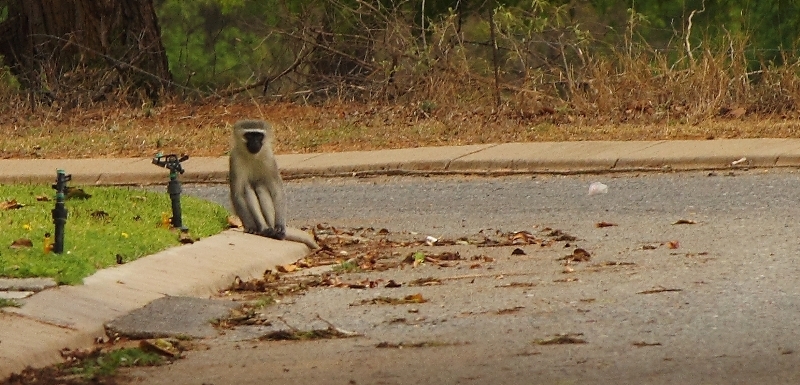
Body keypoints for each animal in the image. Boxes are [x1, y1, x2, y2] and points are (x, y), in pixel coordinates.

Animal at [228, 120, 318, 249]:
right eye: (249, 136)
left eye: (259, 136)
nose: (255, 143)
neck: (252, 156)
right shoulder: (234, 160)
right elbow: (238, 194)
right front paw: (250, 227)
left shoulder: (270, 159)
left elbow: (277, 191)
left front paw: (280, 226)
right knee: (247, 188)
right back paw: (263, 229)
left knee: (261, 186)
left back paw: (274, 231)